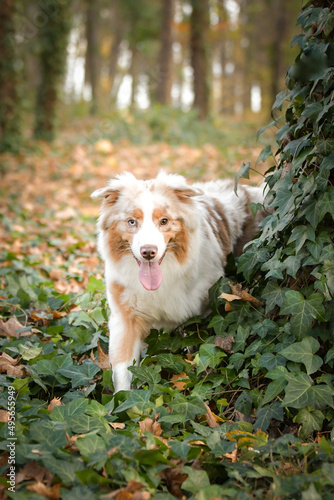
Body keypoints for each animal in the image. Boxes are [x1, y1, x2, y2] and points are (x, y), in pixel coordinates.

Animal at [91, 172, 266, 394]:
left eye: (164, 221)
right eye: (131, 222)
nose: (148, 252)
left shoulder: (203, 309)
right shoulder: (124, 316)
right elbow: (122, 368)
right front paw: (123, 400)